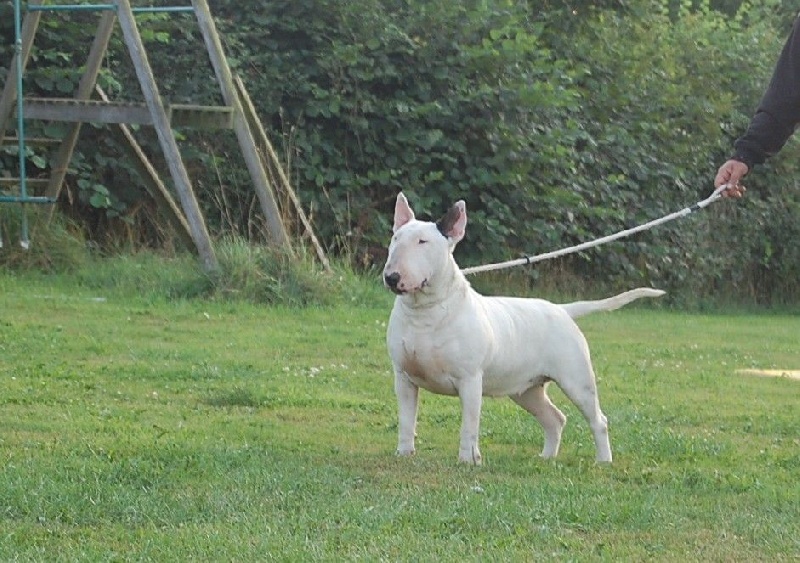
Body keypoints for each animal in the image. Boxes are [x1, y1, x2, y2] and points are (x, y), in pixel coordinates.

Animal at [382, 192, 664, 464]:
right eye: (395, 238)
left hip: (577, 380)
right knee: (555, 418)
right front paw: (404, 454)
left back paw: (603, 460)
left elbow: (469, 425)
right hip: (527, 389)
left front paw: (468, 460)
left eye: (423, 242)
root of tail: (562, 309)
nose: (391, 277)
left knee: (598, 420)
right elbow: (406, 420)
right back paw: (547, 457)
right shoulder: (403, 378)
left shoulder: (470, 380)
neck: (425, 311)